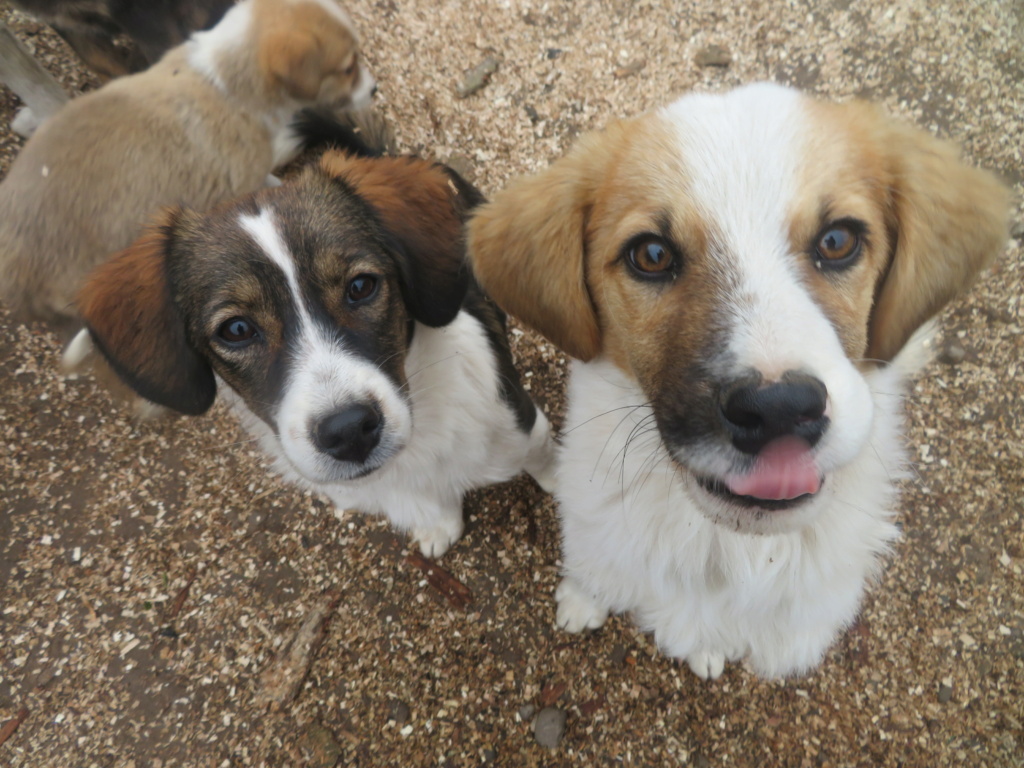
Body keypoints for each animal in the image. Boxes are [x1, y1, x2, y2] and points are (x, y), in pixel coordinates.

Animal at [75, 151, 557, 561]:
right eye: (236, 330)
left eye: (361, 286)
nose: (348, 432)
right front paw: (438, 524)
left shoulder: (522, 427)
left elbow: (547, 461)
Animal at [468, 82, 1007, 679]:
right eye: (651, 254)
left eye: (838, 241)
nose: (779, 408)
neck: (729, 548)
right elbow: (595, 566)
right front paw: (583, 600)